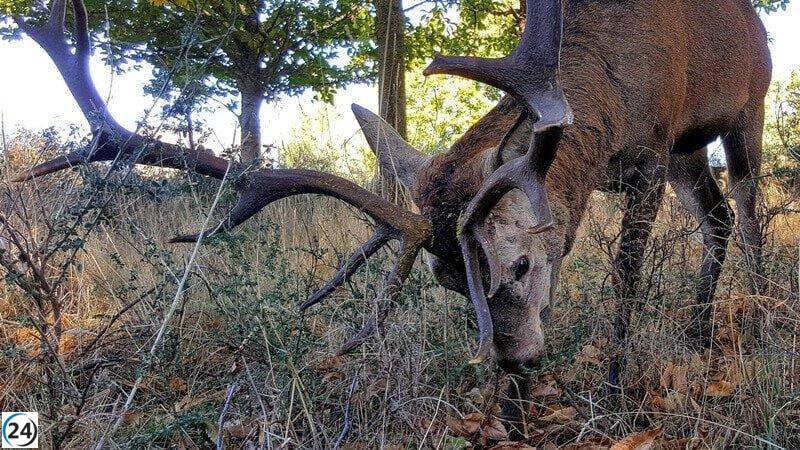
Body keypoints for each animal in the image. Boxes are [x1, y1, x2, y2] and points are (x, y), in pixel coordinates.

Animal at [10, 0, 770, 439]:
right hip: (691, 154)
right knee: (717, 217)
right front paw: (513, 412)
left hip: (744, 110)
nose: (517, 361)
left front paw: (610, 392)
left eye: (521, 262)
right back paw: (699, 332)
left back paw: (758, 326)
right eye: (448, 281)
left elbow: (625, 272)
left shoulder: (652, 148)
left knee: (750, 211)